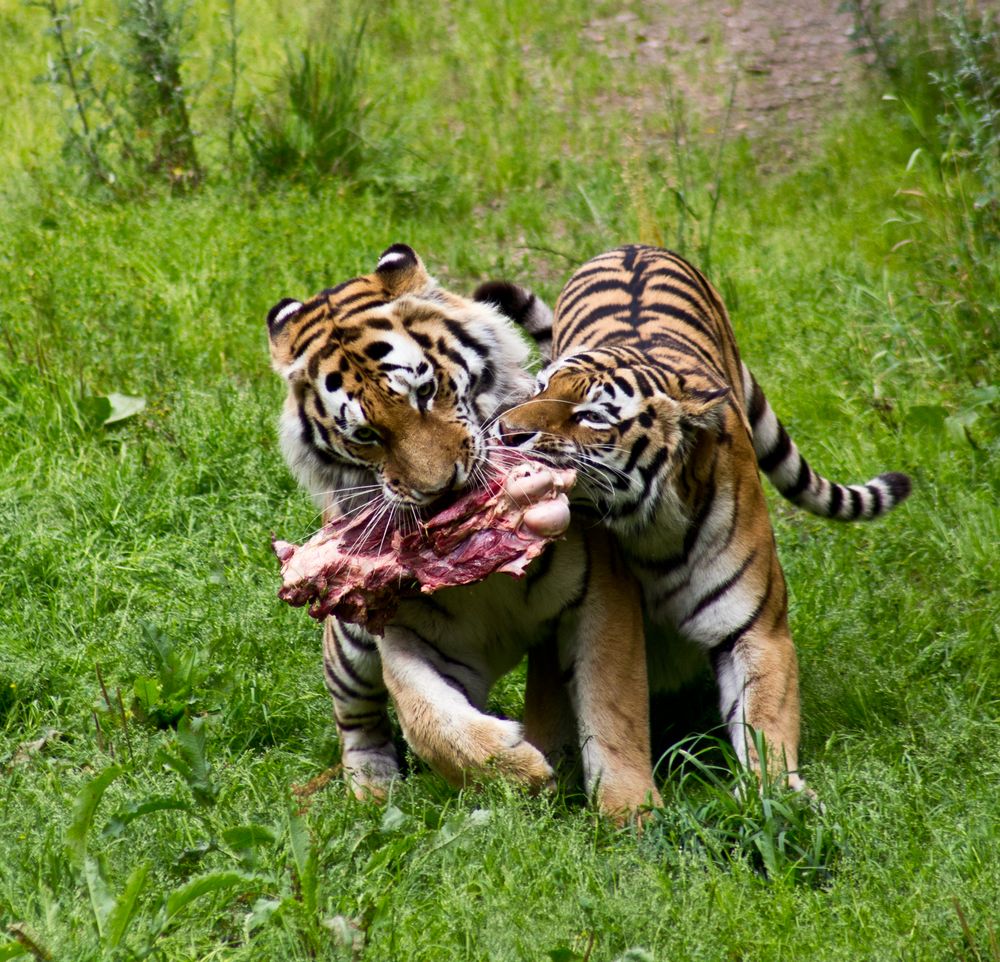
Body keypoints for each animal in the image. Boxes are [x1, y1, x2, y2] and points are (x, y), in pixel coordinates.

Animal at [266, 244, 660, 812]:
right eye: (365, 435)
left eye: (425, 391)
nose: (439, 488)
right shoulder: (406, 630)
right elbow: (428, 721)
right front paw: (522, 773)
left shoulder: (601, 591)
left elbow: (613, 707)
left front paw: (632, 812)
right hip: (347, 640)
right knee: (357, 718)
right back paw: (373, 790)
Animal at [496, 244, 912, 792]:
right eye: (538, 388)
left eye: (590, 416)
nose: (505, 431)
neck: (651, 532)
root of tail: (634, 246)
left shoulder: (758, 629)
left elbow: (765, 722)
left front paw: (777, 798)